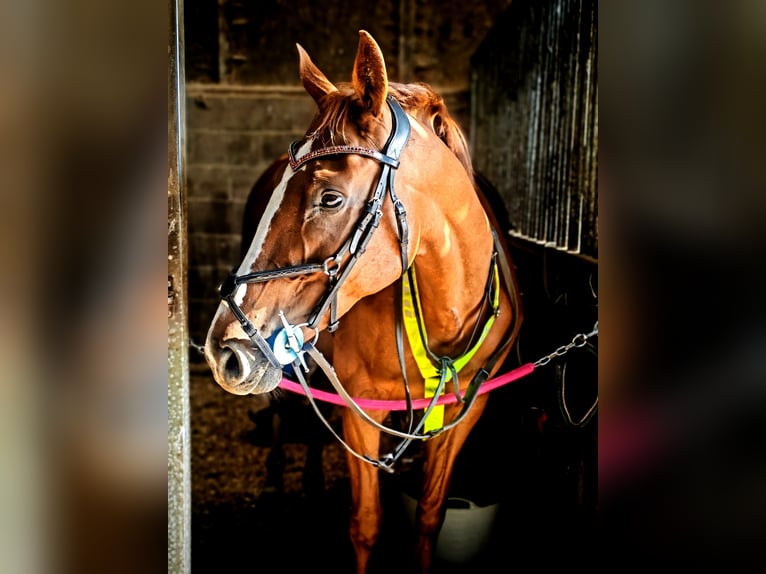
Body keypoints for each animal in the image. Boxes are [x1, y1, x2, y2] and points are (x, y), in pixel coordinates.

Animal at [203, 30, 523, 573]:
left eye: (330, 198)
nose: (222, 349)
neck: (443, 310)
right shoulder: (359, 411)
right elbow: (366, 524)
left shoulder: (465, 415)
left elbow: (430, 516)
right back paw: (277, 482)